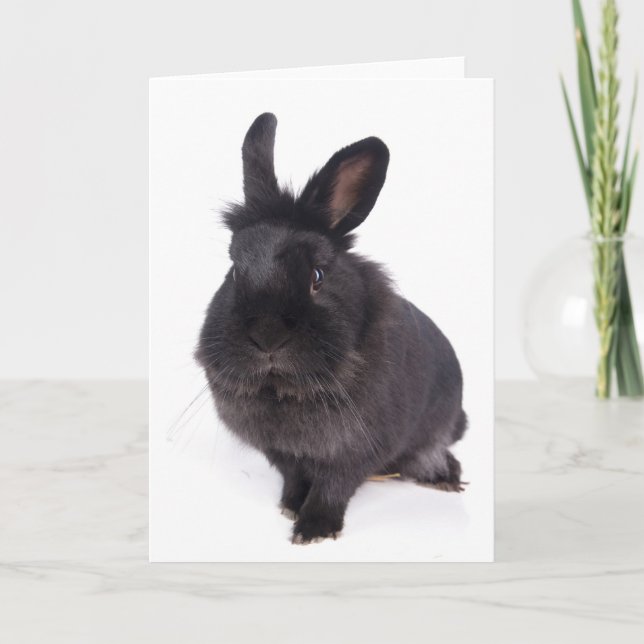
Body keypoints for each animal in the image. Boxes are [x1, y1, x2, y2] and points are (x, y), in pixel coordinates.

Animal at [195, 112, 467, 545]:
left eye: (317, 277)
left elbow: (332, 487)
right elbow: (295, 478)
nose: (267, 336)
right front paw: (290, 506)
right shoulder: (283, 454)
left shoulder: (355, 451)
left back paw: (444, 478)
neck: (284, 390)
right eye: (235, 272)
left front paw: (314, 530)